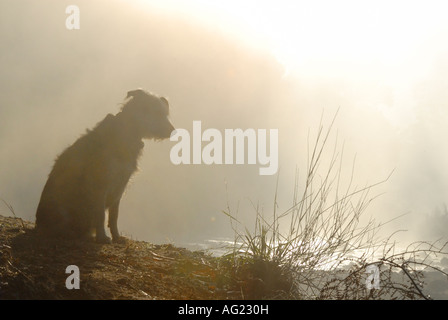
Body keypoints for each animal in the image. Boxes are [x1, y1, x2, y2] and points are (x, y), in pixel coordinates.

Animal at [34, 89, 175, 244]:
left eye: (165, 113)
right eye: (154, 111)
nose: (172, 130)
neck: (126, 133)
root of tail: (38, 225)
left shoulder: (121, 185)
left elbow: (114, 215)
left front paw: (117, 237)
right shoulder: (100, 184)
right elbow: (100, 214)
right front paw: (102, 237)